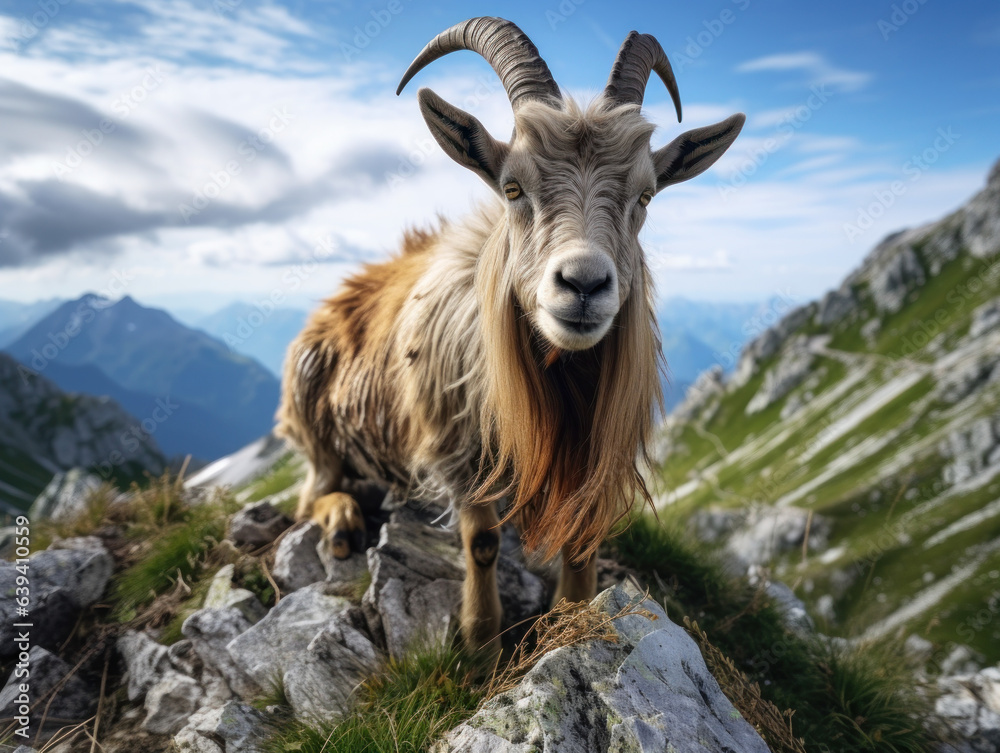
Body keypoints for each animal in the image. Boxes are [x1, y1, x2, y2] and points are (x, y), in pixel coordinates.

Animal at [276, 17, 744, 651]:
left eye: (645, 196)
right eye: (513, 187)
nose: (583, 283)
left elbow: (581, 543)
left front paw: (573, 617)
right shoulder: (458, 447)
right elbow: (481, 542)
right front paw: (481, 641)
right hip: (314, 425)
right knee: (310, 494)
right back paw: (344, 521)